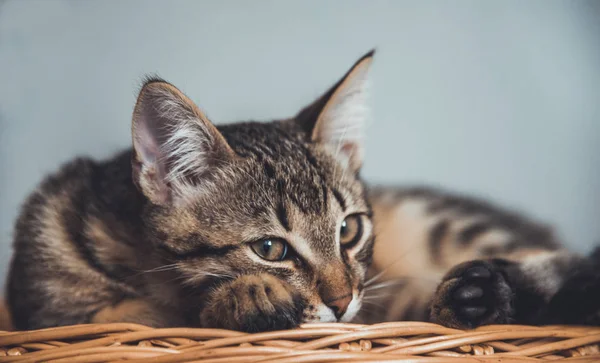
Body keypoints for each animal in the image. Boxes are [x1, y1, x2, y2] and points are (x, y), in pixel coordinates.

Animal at [5, 51, 600, 332]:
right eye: (269, 248)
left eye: (349, 229)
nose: (341, 301)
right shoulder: (46, 306)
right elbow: (128, 313)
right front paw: (246, 295)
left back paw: (486, 290)